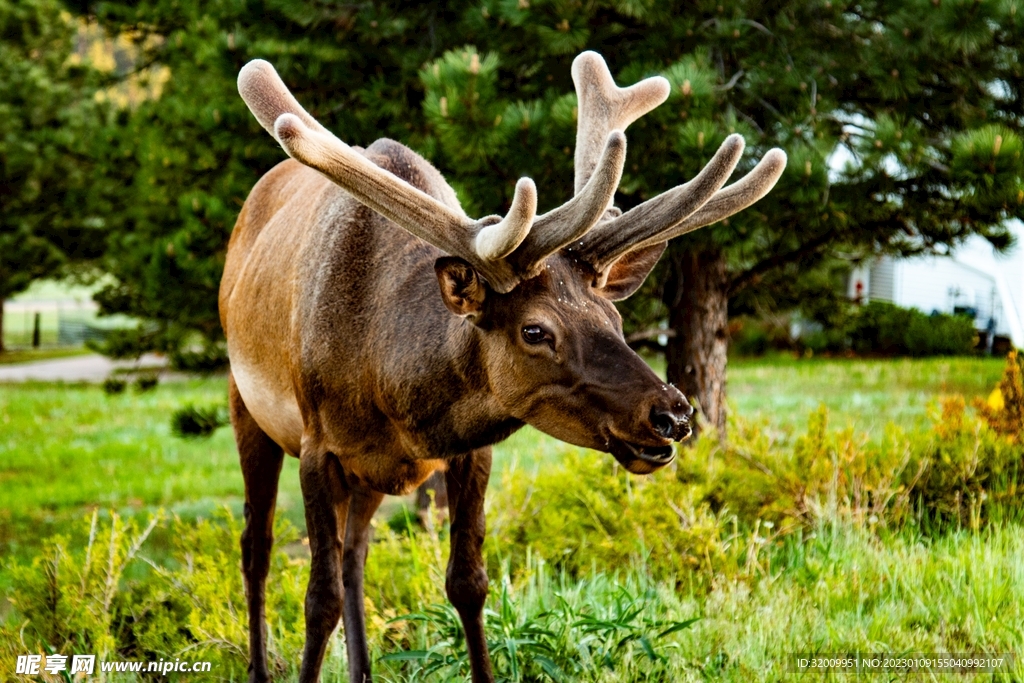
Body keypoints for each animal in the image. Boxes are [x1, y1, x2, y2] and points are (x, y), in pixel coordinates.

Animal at [220, 50, 786, 683]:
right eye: (535, 331)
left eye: (615, 319)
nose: (672, 414)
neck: (390, 391)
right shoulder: (318, 447)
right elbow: (318, 600)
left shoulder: (468, 450)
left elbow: (468, 583)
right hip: (246, 405)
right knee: (256, 546)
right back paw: (259, 664)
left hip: (367, 477)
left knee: (354, 553)